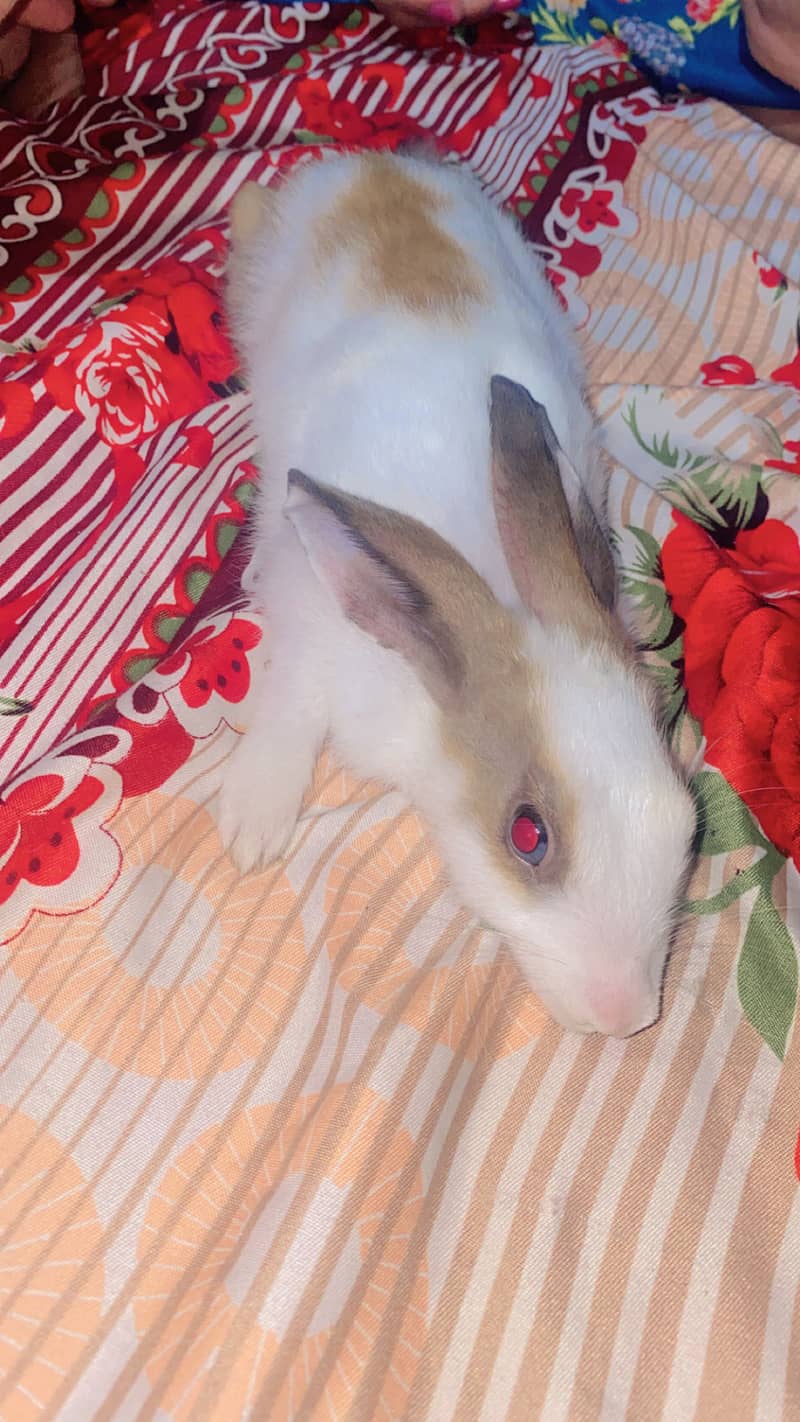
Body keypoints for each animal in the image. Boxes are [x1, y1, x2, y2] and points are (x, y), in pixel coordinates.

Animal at [219, 149, 696, 1039]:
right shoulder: (310, 634)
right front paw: (253, 823)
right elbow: (288, 704)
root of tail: (366, 164)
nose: (627, 1017)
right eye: (527, 835)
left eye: (685, 808)